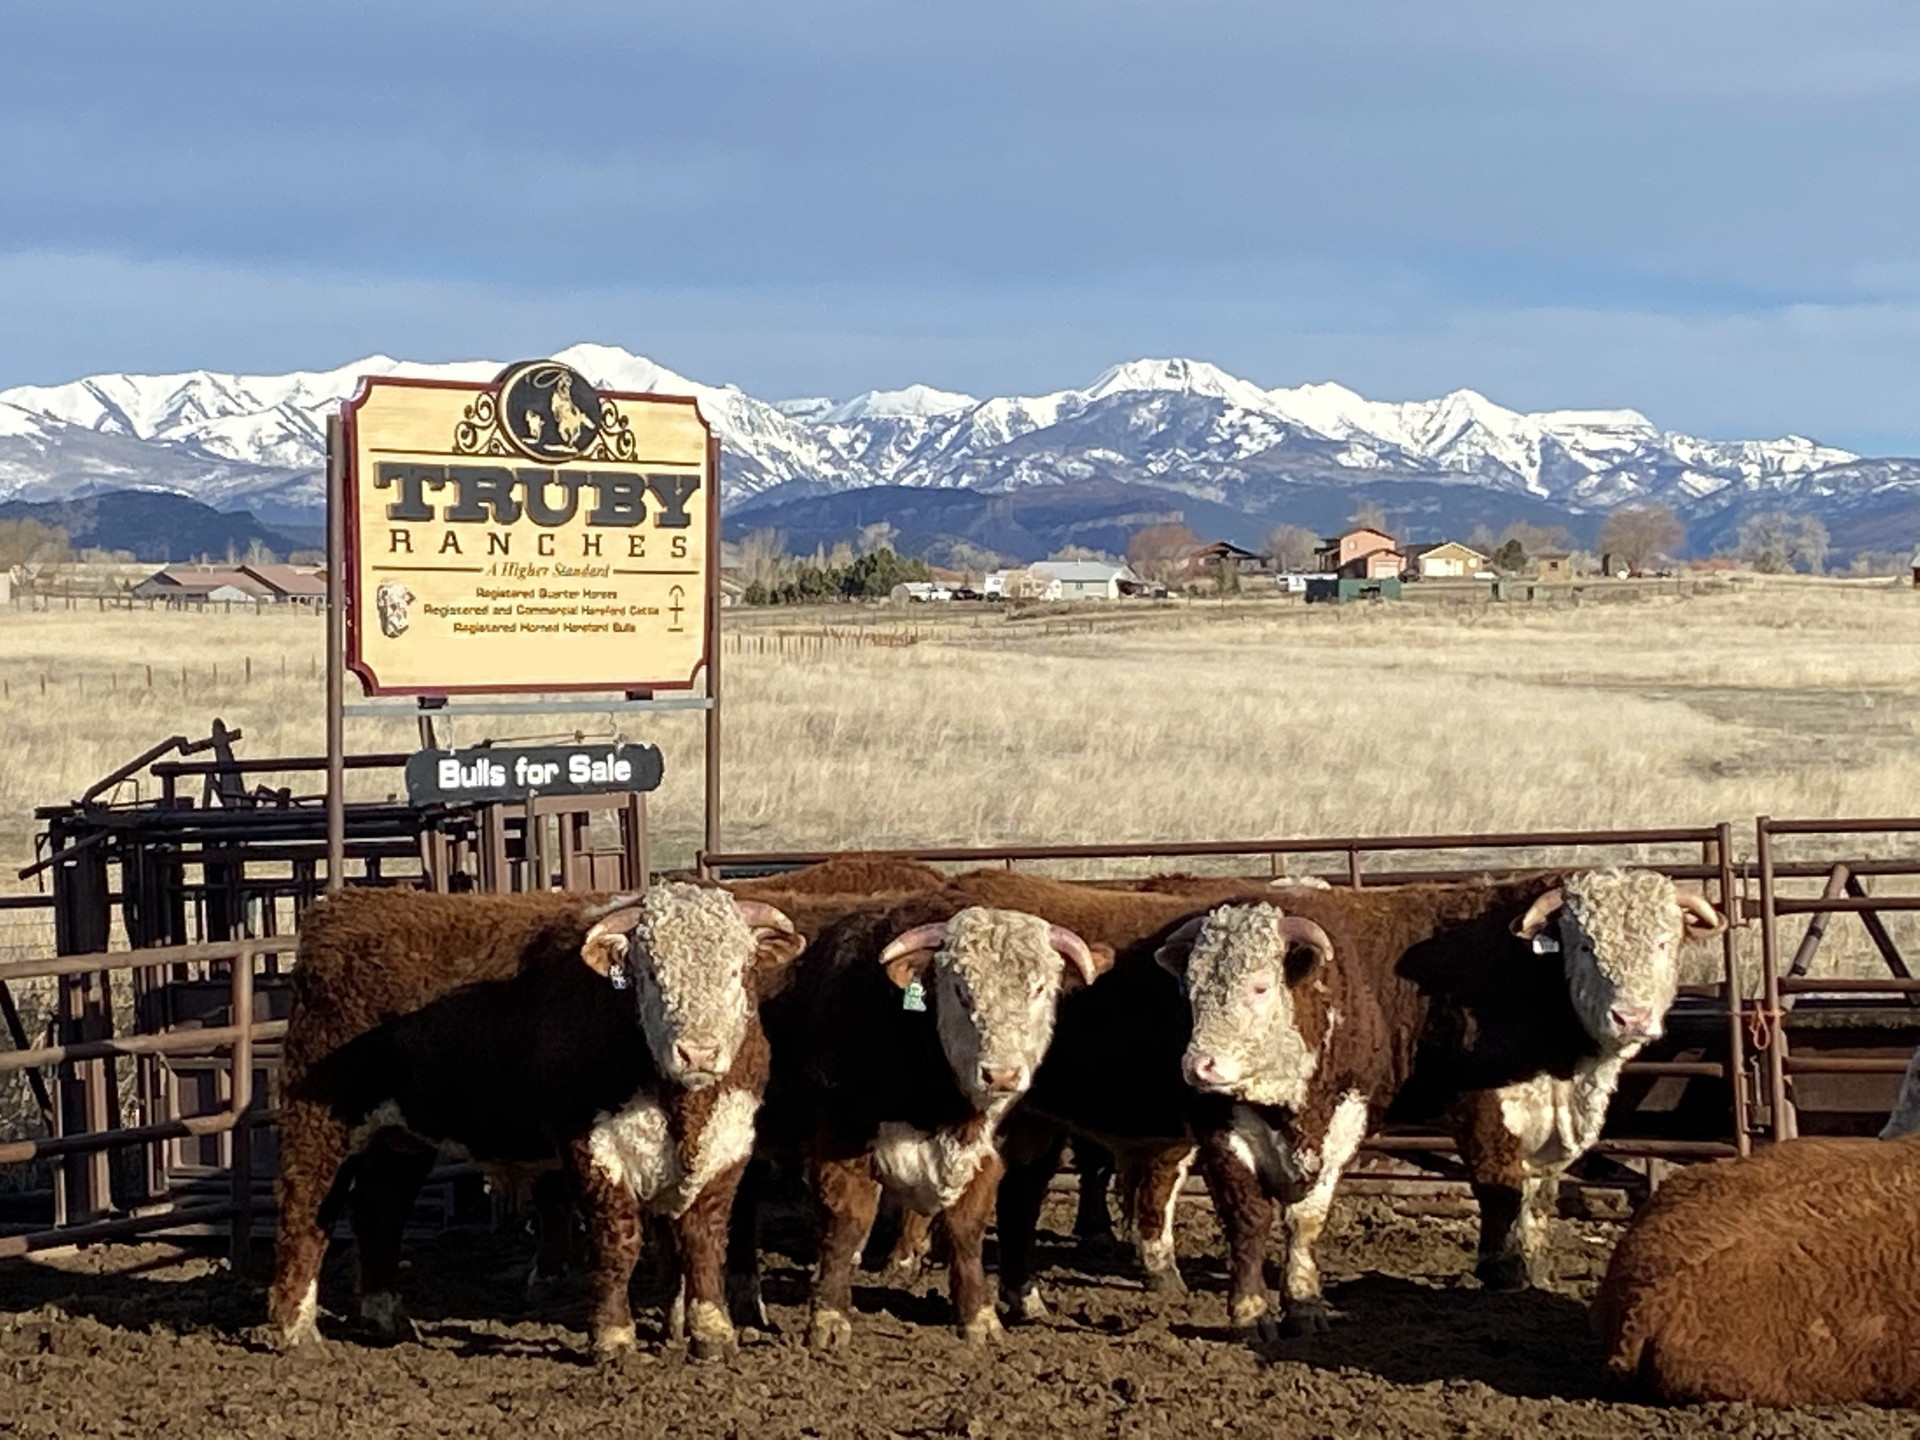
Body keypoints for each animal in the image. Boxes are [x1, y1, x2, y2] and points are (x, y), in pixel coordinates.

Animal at [259, 879, 798, 1367]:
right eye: (649, 972)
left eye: (740, 968)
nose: (698, 1051)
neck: (680, 1101)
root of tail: (346, 904)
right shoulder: (590, 1144)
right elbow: (617, 1241)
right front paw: (614, 1340)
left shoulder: (728, 1143)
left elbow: (704, 1241)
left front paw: (714, 1334)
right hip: (322, 1123)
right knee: (305, 1212)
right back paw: (295, 1330)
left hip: (399, 1138)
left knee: (380, 1210)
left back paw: (387, 1317)